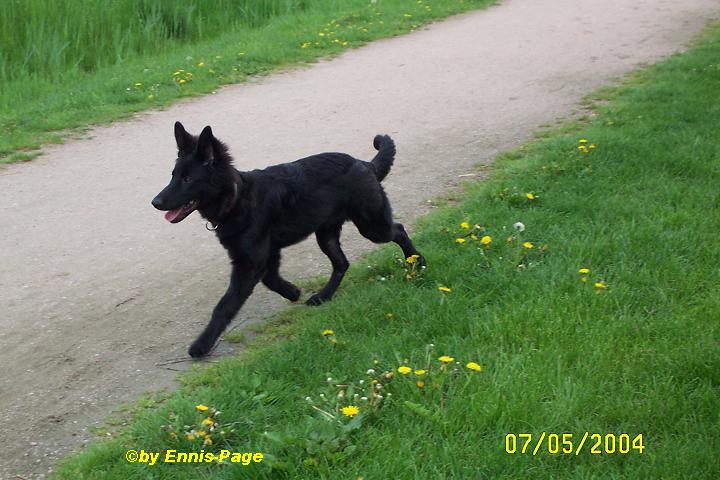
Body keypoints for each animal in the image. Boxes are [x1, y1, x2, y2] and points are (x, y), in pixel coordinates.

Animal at [152, 122, 425, 357]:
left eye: (187, 179)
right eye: (173, 175)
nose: (155, 202)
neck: (237, 197)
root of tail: (365, 164)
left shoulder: (249, 263)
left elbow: (224, 306)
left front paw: (201, 345)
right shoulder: (266, 255)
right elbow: (271, 279)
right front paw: (292, 292)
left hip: (372, 226)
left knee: (399, 229)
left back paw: (418, 262)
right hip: (326, 234)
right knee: (342, 263)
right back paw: (323, 297)